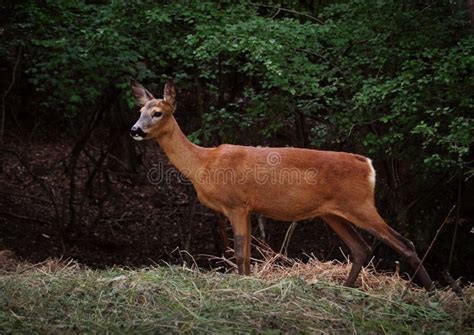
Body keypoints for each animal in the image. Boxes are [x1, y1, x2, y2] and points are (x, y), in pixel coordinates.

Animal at [129, 80, 434, 292]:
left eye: (157, 113)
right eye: (140, 110)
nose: (135, 130)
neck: (203, 164)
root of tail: (368, 165)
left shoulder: (236, 203)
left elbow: (240, 253)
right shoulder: (248, 208)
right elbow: (247, 255)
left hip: (360, 204)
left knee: (404, 243)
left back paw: (434, 293)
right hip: (333, 213)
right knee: (361, 248)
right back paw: (346, 289)